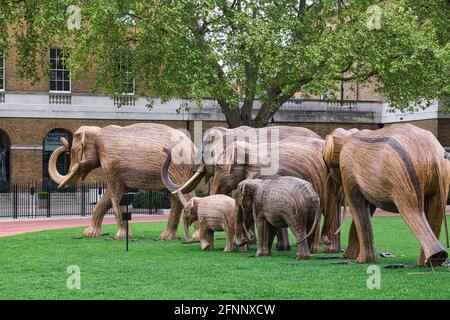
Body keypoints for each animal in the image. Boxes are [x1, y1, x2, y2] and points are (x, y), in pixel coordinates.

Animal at [48, 124, 194, 239]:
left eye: (74, 151)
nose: (62, 140)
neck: (98, 132)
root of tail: (192, 147)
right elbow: (111, 196)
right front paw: (90, 233)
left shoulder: (110, 162)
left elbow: (115, 194)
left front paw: (120, 236)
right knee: (176, 197)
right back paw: (167, 237)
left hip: (177, 167)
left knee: (186, 195)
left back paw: (194, 237)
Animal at [326, 124, 448, 266]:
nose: (329, 247)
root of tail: (433, 154)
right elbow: (367, 208)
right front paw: (352, 257)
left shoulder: (347, 167)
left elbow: (356, 204)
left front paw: (360, 261)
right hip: (442, 176)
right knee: (435, 214)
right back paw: (428, 263)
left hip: (402, 175)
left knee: (412, 211)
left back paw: (434, 258)